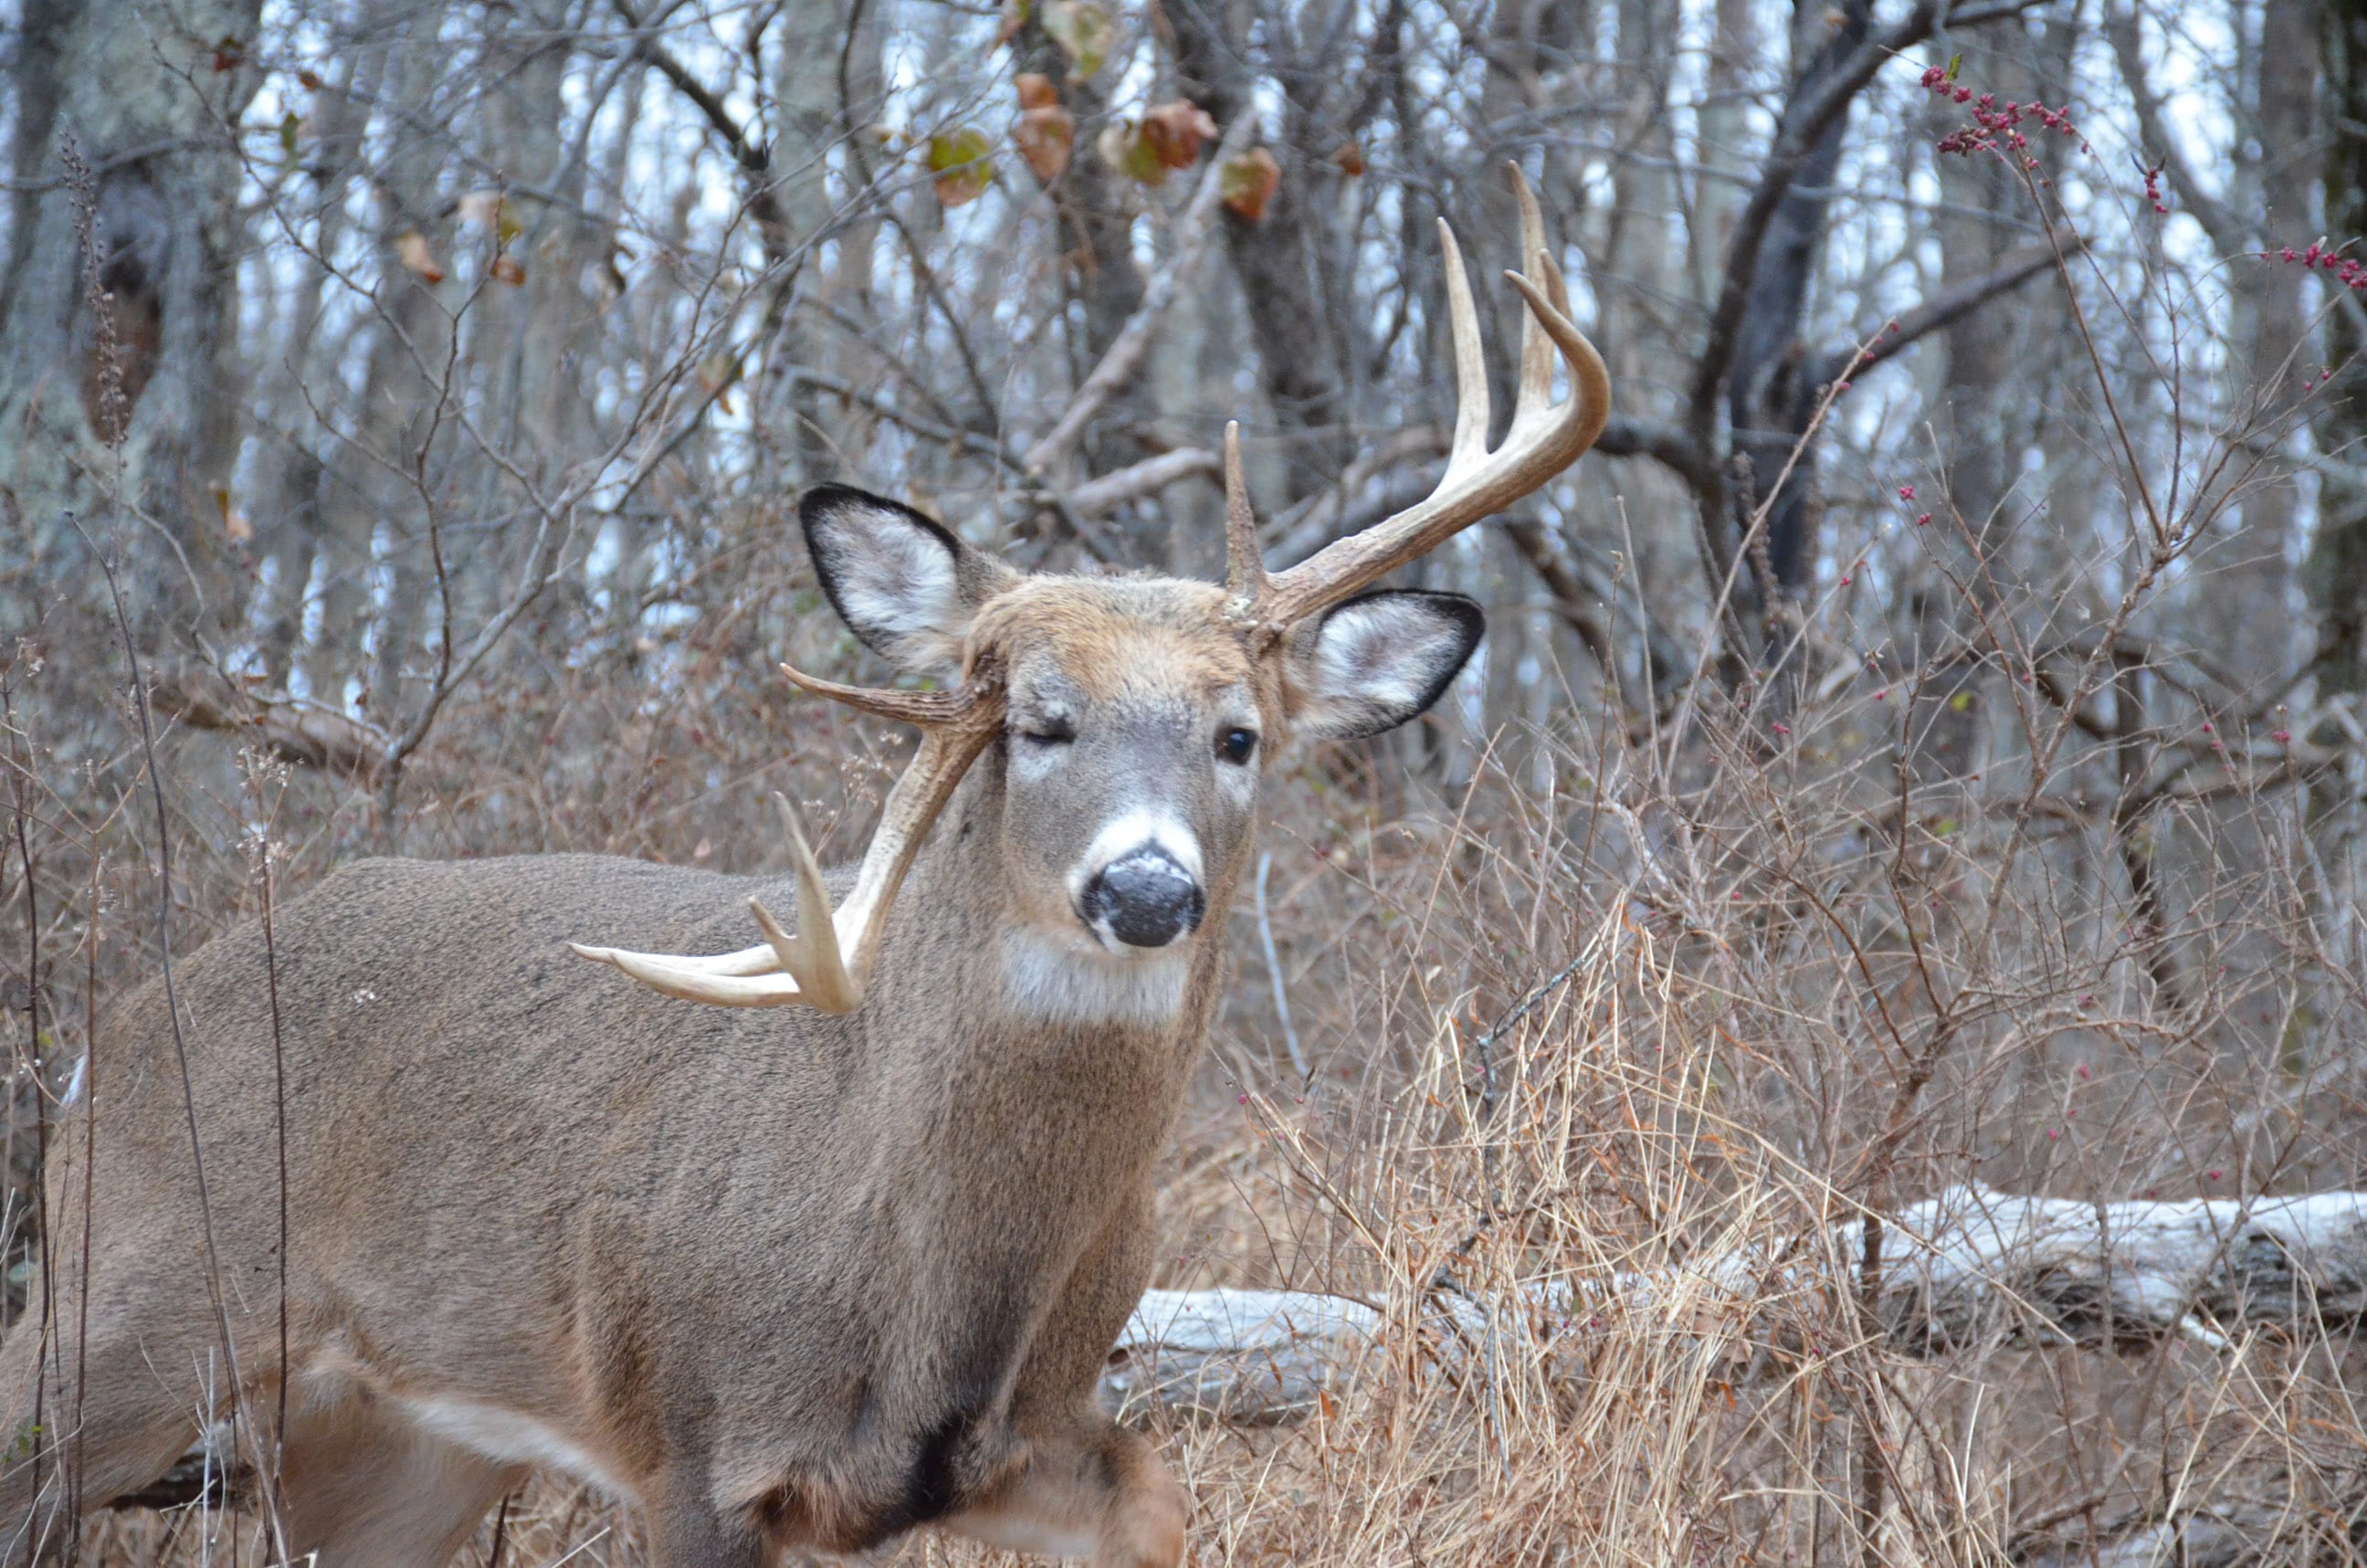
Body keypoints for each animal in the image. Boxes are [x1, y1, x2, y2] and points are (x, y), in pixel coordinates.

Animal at [0, 172, 1609, 1568]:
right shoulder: (693, 1438)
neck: (937, 1281)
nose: (1147, 891)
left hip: (394, 1440)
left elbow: (1163, 1507)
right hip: (121, 1306)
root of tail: (114, 1029)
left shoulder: (1027, 1443)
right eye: (1038, 721)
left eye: (1239, 735)